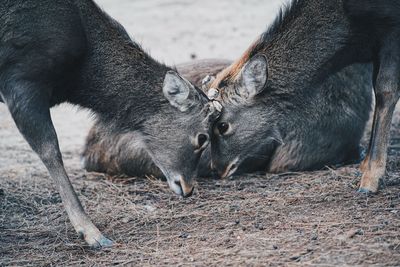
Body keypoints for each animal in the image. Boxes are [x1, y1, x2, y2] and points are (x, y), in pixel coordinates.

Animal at [0, 0, 220, 249]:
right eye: (202, 137)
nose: (188, 188)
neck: (76, 80)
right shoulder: (19, 79)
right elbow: (50, 150)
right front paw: (92, 233)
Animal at [208, 0, 398, 195]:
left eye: (223, 126)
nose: (216, 169)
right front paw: (364, 166)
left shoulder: (392, 31)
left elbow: (385, 89)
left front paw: (371, 179)